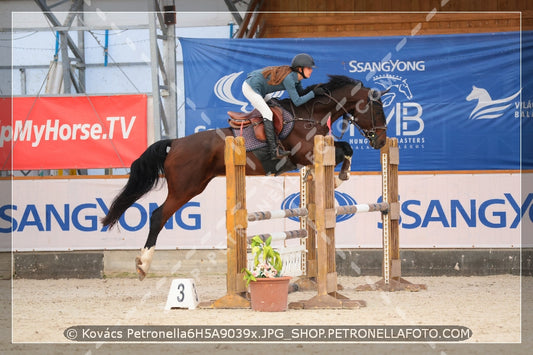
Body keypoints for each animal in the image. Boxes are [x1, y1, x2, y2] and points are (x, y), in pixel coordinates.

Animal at [101, 76, 386, 280]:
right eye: (377, 108)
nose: (382, 141)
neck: (310, 113)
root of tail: (176, 143)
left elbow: (345, 149)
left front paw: (339, 176)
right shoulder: (305, 153)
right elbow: (344, 149)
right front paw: (339, 178)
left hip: (195, 185)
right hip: (185, 188)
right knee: (158, 215)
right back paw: (143, 265)